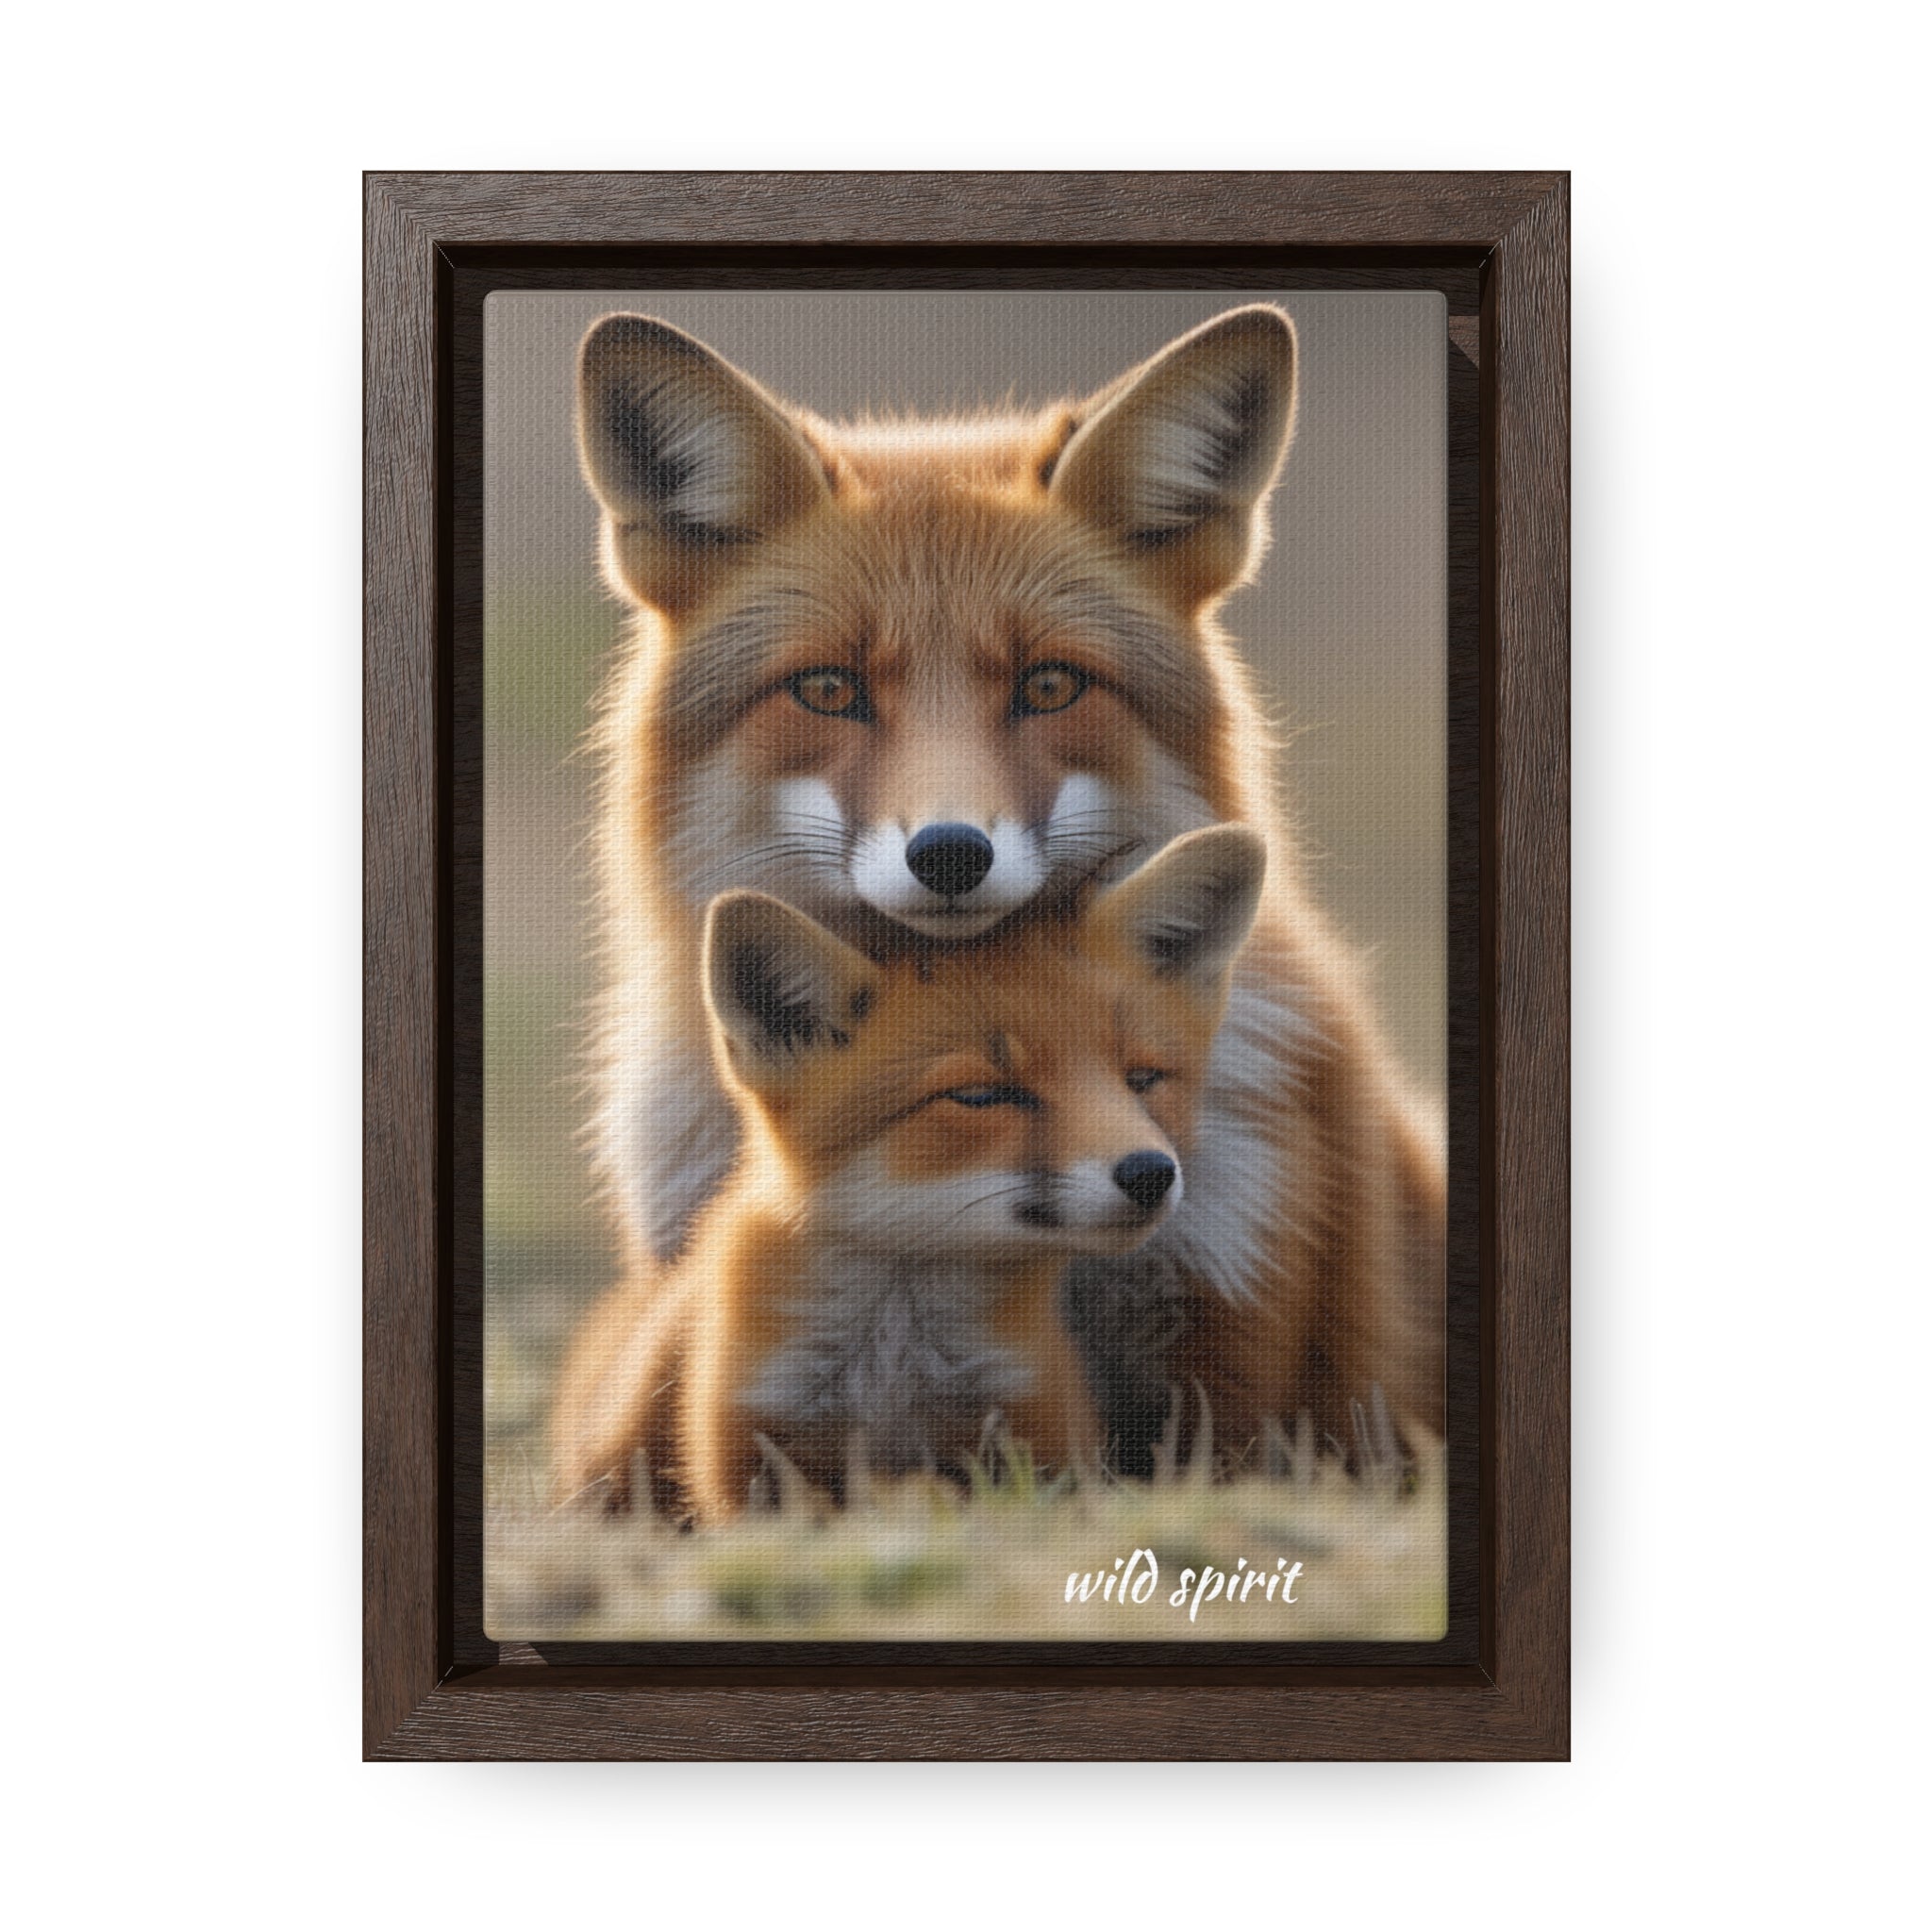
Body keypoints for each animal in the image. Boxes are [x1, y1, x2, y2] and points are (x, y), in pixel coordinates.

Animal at [554, 827, 1267, 1521]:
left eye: (1142, 1079)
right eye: (981, 1096)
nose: (1150, 1173)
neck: (895, 1364)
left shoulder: (1037, 1438)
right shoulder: (753, 1455)